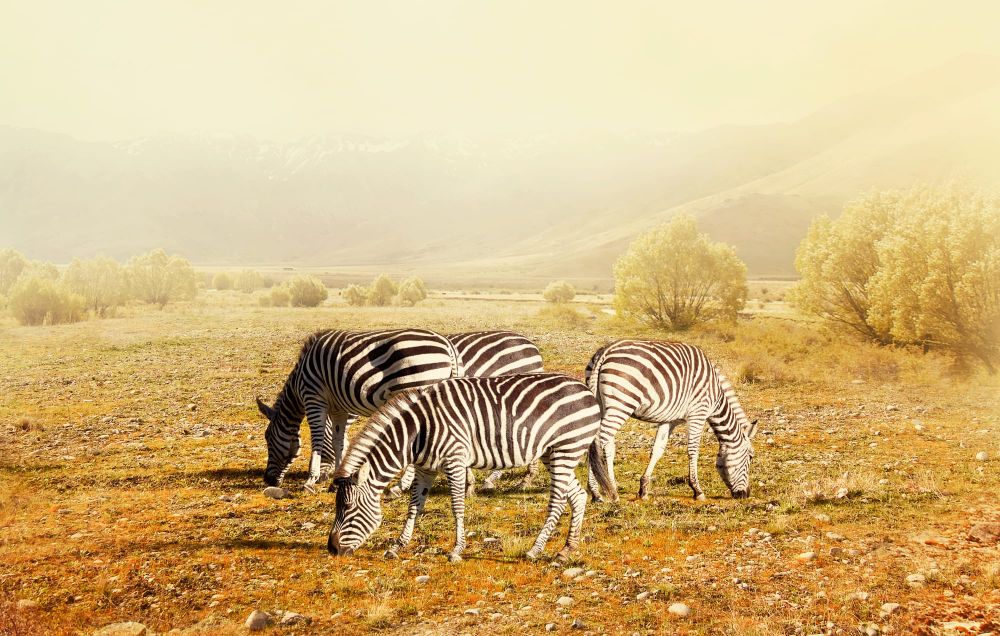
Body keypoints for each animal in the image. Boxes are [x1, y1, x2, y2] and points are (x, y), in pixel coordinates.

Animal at [255, 329, 461, 492]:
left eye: (267, 438)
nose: (268, 480)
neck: (298, 385)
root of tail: (446, 344)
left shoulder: (314, 399)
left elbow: (317, 441)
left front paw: (310, 480)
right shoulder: (338, 409)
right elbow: (338, 442)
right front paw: (336, 480)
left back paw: (401, 486)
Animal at [327, 374, 615, 563]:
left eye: (348, 508)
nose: (332, 549)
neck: (416, 432)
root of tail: (586, 390)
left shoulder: (454, 459)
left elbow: (457, 506)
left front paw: (456, 550)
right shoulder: (424, 468)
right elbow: (414, 507)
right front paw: (398, 546)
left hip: (567, 448)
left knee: (557, 502)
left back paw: (535, 549)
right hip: (552, 452)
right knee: (577, 496)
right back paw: (566, 550)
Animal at [584, 340, 758, 502]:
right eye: (750, 457)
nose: (746, 495)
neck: (716, 396)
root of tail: (606, 351)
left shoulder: (669, 420)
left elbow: (657, 450)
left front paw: (643, 489)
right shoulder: (698, 413)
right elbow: (693, 450)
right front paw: (697, 490)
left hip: (603, 406)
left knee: (606, 445)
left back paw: (612, 489)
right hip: (621, 404)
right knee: (598, 442)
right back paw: (596, 493)